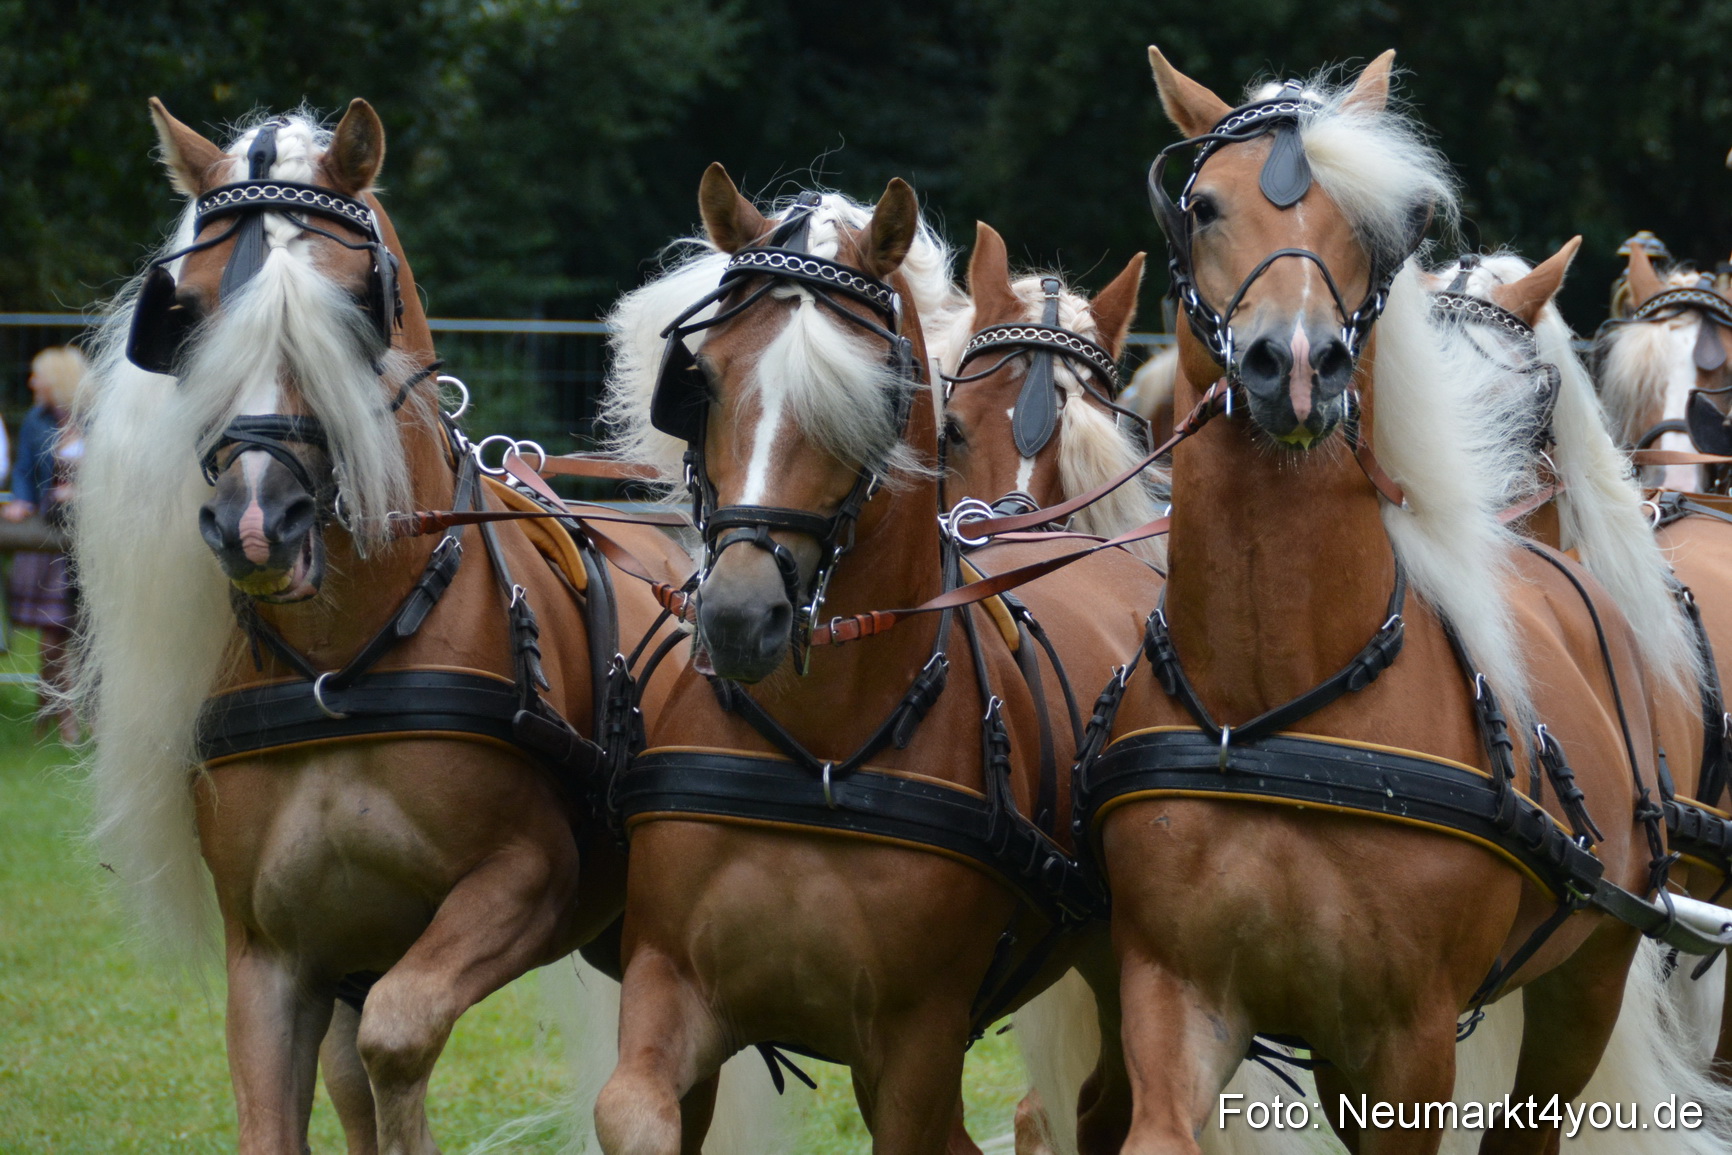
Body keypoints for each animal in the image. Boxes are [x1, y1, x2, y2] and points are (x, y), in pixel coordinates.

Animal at [71, 100, 726, 1155]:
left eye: (353, 306)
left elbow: (401, 1032)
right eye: (191, 311)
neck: (343, 663)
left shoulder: (530, 880)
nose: (257, 520)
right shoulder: (272, 954)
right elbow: (294, 1107)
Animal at [591, 166, 1165, 1155]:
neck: (817, 752)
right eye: (701, 379)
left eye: (873, 392)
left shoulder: (916, 1049)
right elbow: (631, 1114)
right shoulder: (669, 984)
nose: (740, 615)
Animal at [1070, 47, 1732, 1154]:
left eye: (1377, 232)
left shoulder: (1408, 1045)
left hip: (1589, 974)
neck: (1279, 707)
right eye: (1203, 205)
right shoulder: (1171, 991)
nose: (1297, 364)